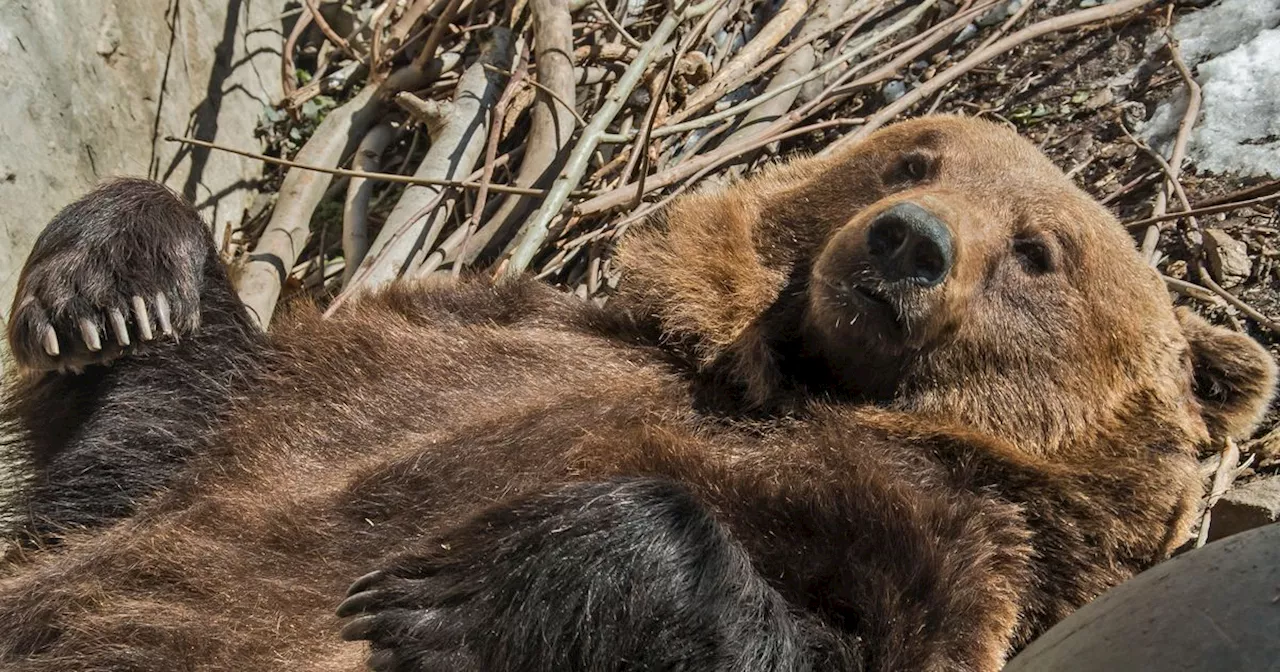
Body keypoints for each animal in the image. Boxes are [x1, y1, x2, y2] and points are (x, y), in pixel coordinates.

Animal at [0, 116, 1274, 670]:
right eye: (912, 158)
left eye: (1037, 251)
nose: (907, 240)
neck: (784, 386)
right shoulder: (452, 354)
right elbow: (159, 449)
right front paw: (116, 285)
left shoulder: (945, 543)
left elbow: (828, 637)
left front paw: (456, 590)